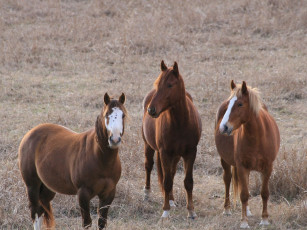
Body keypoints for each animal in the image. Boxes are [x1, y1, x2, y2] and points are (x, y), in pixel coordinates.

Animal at [18, 92, 127, 229]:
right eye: (106, 115)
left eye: (123, 115)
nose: (115, 139)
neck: (101, 159)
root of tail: (30, 134)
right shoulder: (83, 194)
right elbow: (86, 223)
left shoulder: (108, 193)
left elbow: (102, 223)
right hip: (32, 185)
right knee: (35, 212)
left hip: (48, 187)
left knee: (42, 209)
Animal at [215, 81, 280, 228]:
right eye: (229, 104)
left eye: (240, 104)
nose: (223, 127)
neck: (258, 137)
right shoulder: (241, 167)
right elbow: (244, 194)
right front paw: (244, 222)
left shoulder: (268, 167)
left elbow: (264, 193)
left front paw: (264, 219)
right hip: (225, 161)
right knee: (227, 180)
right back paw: (227, 209)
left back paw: (248, 210)